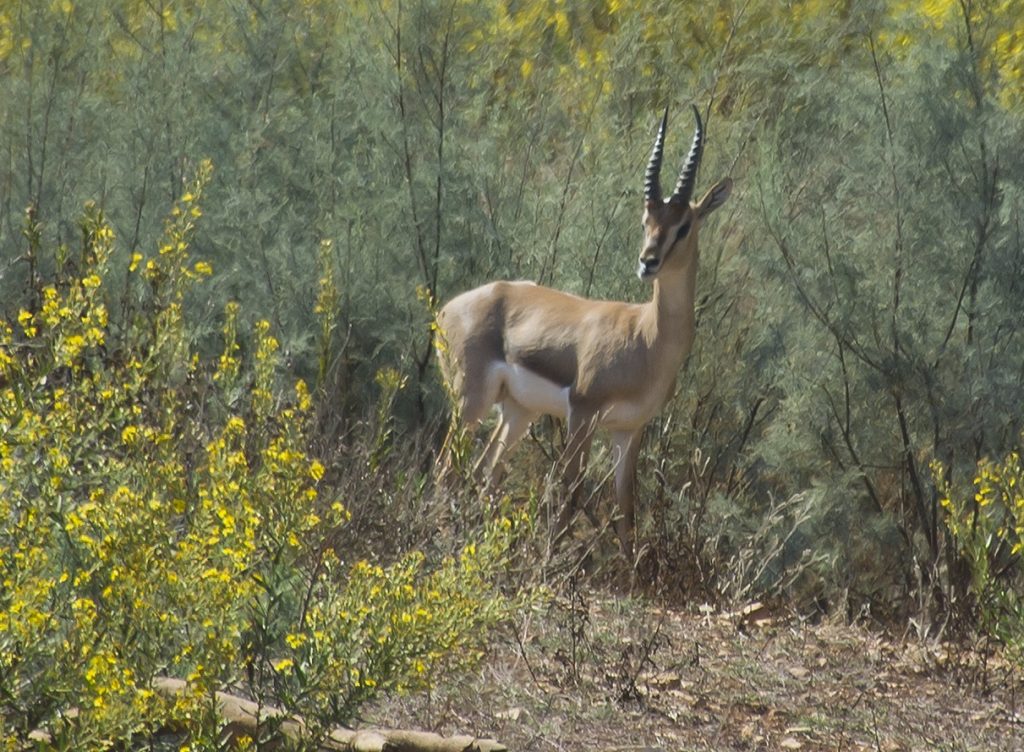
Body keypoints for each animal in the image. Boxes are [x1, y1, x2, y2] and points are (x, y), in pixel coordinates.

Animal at [435, 106, 732, 558]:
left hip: (518, 411)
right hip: (470, 401)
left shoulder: (629, 430)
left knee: (487, 468)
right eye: (647, 220)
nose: (648, 262)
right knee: (446, 468)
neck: (646, 337)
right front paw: (552, 560)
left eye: (684, 225)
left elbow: (626, 507)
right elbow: (570, 492)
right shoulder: (582, 414)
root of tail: (449, 308)